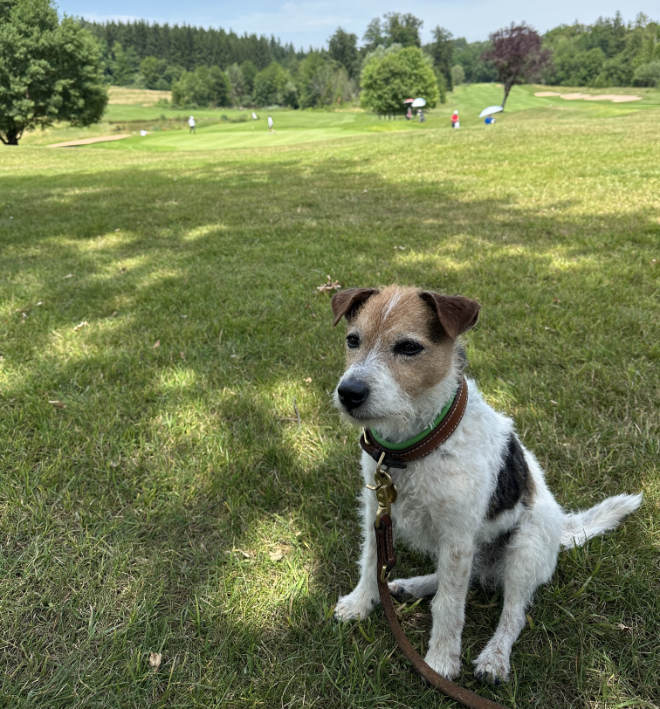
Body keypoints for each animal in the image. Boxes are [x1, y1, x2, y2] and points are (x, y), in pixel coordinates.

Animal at [332, 284, 640, 684]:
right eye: (353, 340)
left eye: (409, 347)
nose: (349, 393)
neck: (419, 445)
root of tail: (562, 527)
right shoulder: (377, 511)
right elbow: (372, 561)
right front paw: (360, 603)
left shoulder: (457, 536)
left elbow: (449, 606)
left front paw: (441, 661)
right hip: (476, 554)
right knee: (462, 579)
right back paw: (410, 585)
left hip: (523, 551)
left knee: (512, 614)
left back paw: (494, 658)